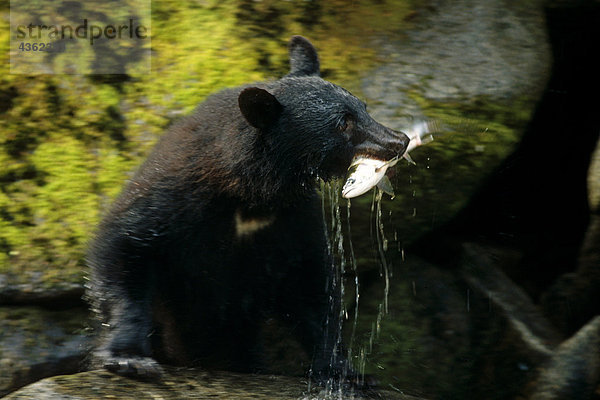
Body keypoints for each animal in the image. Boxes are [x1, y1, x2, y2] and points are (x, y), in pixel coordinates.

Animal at [86, 36, 410, 382]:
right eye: (343, 123)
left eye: (364, 108)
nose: (399, 140)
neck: (253, 194)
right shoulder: (174, 196)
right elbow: (126, 244)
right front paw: (128, 358)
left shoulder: (294, 216)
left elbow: (308, 283)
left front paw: (342, 369)